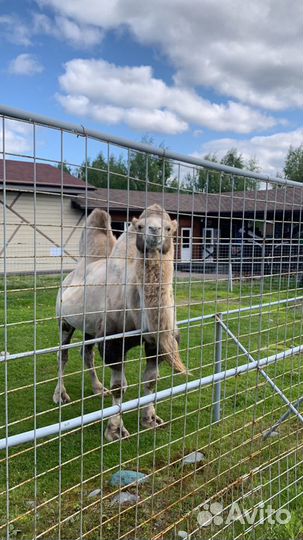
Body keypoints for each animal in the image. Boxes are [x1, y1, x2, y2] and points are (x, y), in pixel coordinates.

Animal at [55, 205, 188, 440]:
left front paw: (150, 419)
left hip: (90, 326)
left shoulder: (155, 343)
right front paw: (115, 430)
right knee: (62, 354)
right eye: (141, 226)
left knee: (86, 353)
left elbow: (151, 380)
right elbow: (120, 386)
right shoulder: (114, 342)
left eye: (169, 228)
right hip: (64, 320)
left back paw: (98, 389)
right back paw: (60, 395)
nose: (154, 231)